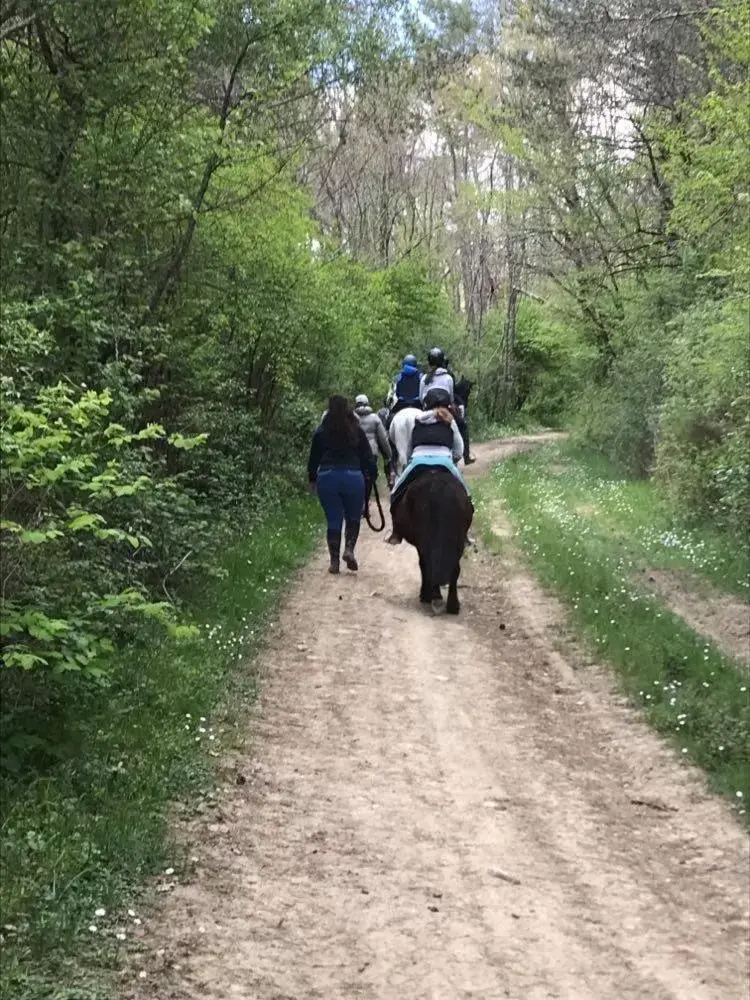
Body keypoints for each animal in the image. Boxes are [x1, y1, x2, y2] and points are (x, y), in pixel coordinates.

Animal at [390, 470, 472, 616]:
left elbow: (423, 565)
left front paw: (425, 594)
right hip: (457, 540)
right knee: (453, 568)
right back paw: (452, 605)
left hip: (425, 540)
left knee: (428, 565)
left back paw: (433, 597)